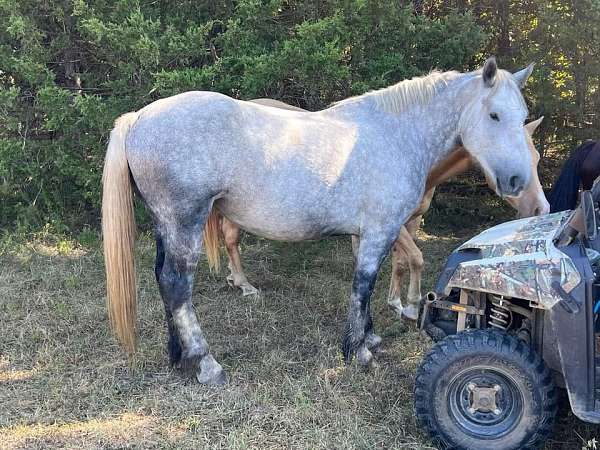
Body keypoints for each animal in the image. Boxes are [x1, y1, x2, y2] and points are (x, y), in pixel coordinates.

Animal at [103, 58, 536, 384]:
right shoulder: (381, 231)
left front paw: (369, 338)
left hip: (169, 228)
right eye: (495, 115)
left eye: (522, 118)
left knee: (164, 280)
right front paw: (358, 352)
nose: (516, 181)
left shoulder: (368, 234)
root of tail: (139, 117)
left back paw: (179, 357)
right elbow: (363, 285)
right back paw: (205, 363)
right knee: (177, 286)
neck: (396, 135)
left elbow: (368, 287)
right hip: (186, 224)